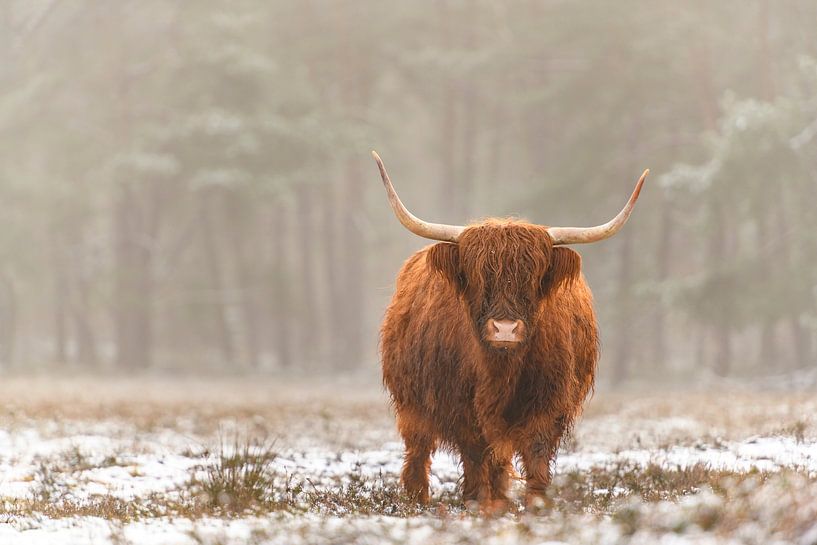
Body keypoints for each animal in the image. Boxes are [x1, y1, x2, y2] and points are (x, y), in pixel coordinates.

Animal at [372, 151, 652, 508]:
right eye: (478, 276)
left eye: (533, 277)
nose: (504, 329)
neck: (501, 371)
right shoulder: (460, 407)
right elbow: (475, 454)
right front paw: (478, 502)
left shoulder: (549, 404)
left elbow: (535, 454)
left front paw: (535, 504)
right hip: (411, 402)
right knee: (418, 450)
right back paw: (417, 497)